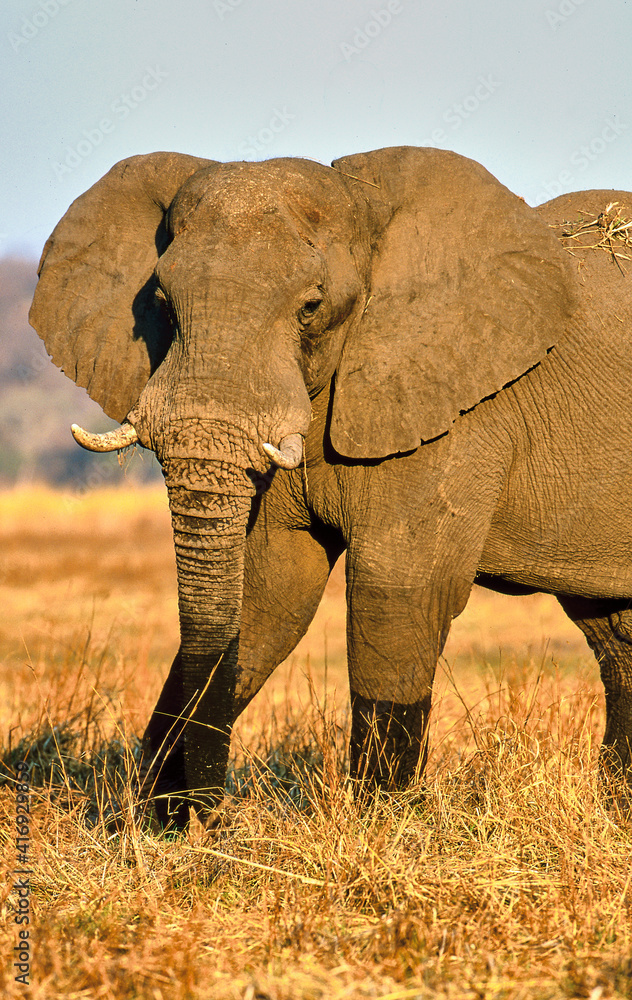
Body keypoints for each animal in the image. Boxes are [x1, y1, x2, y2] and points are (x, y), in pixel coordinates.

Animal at [29, 145, 632, 827]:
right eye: (159, 298)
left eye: (311, 308)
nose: (208, 813)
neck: (363, 199)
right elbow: (271, 590)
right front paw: (157, 822)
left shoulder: (458, 410)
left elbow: (396, 593)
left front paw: (379, 825)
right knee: (614, 637)